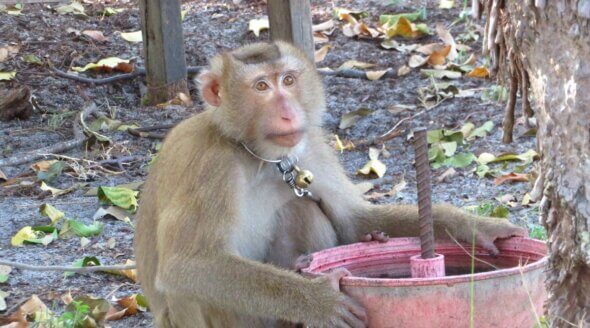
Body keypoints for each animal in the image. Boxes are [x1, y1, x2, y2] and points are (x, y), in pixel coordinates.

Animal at [135, 41, 528, 328]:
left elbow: (353, 220)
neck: (254, 155)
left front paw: (472, 226)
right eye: (261, 87)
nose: (288, 113)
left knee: (302, 209)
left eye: (288, 80)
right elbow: (187, 266)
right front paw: (319, 301)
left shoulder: (310, 147)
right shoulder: (210, 167)